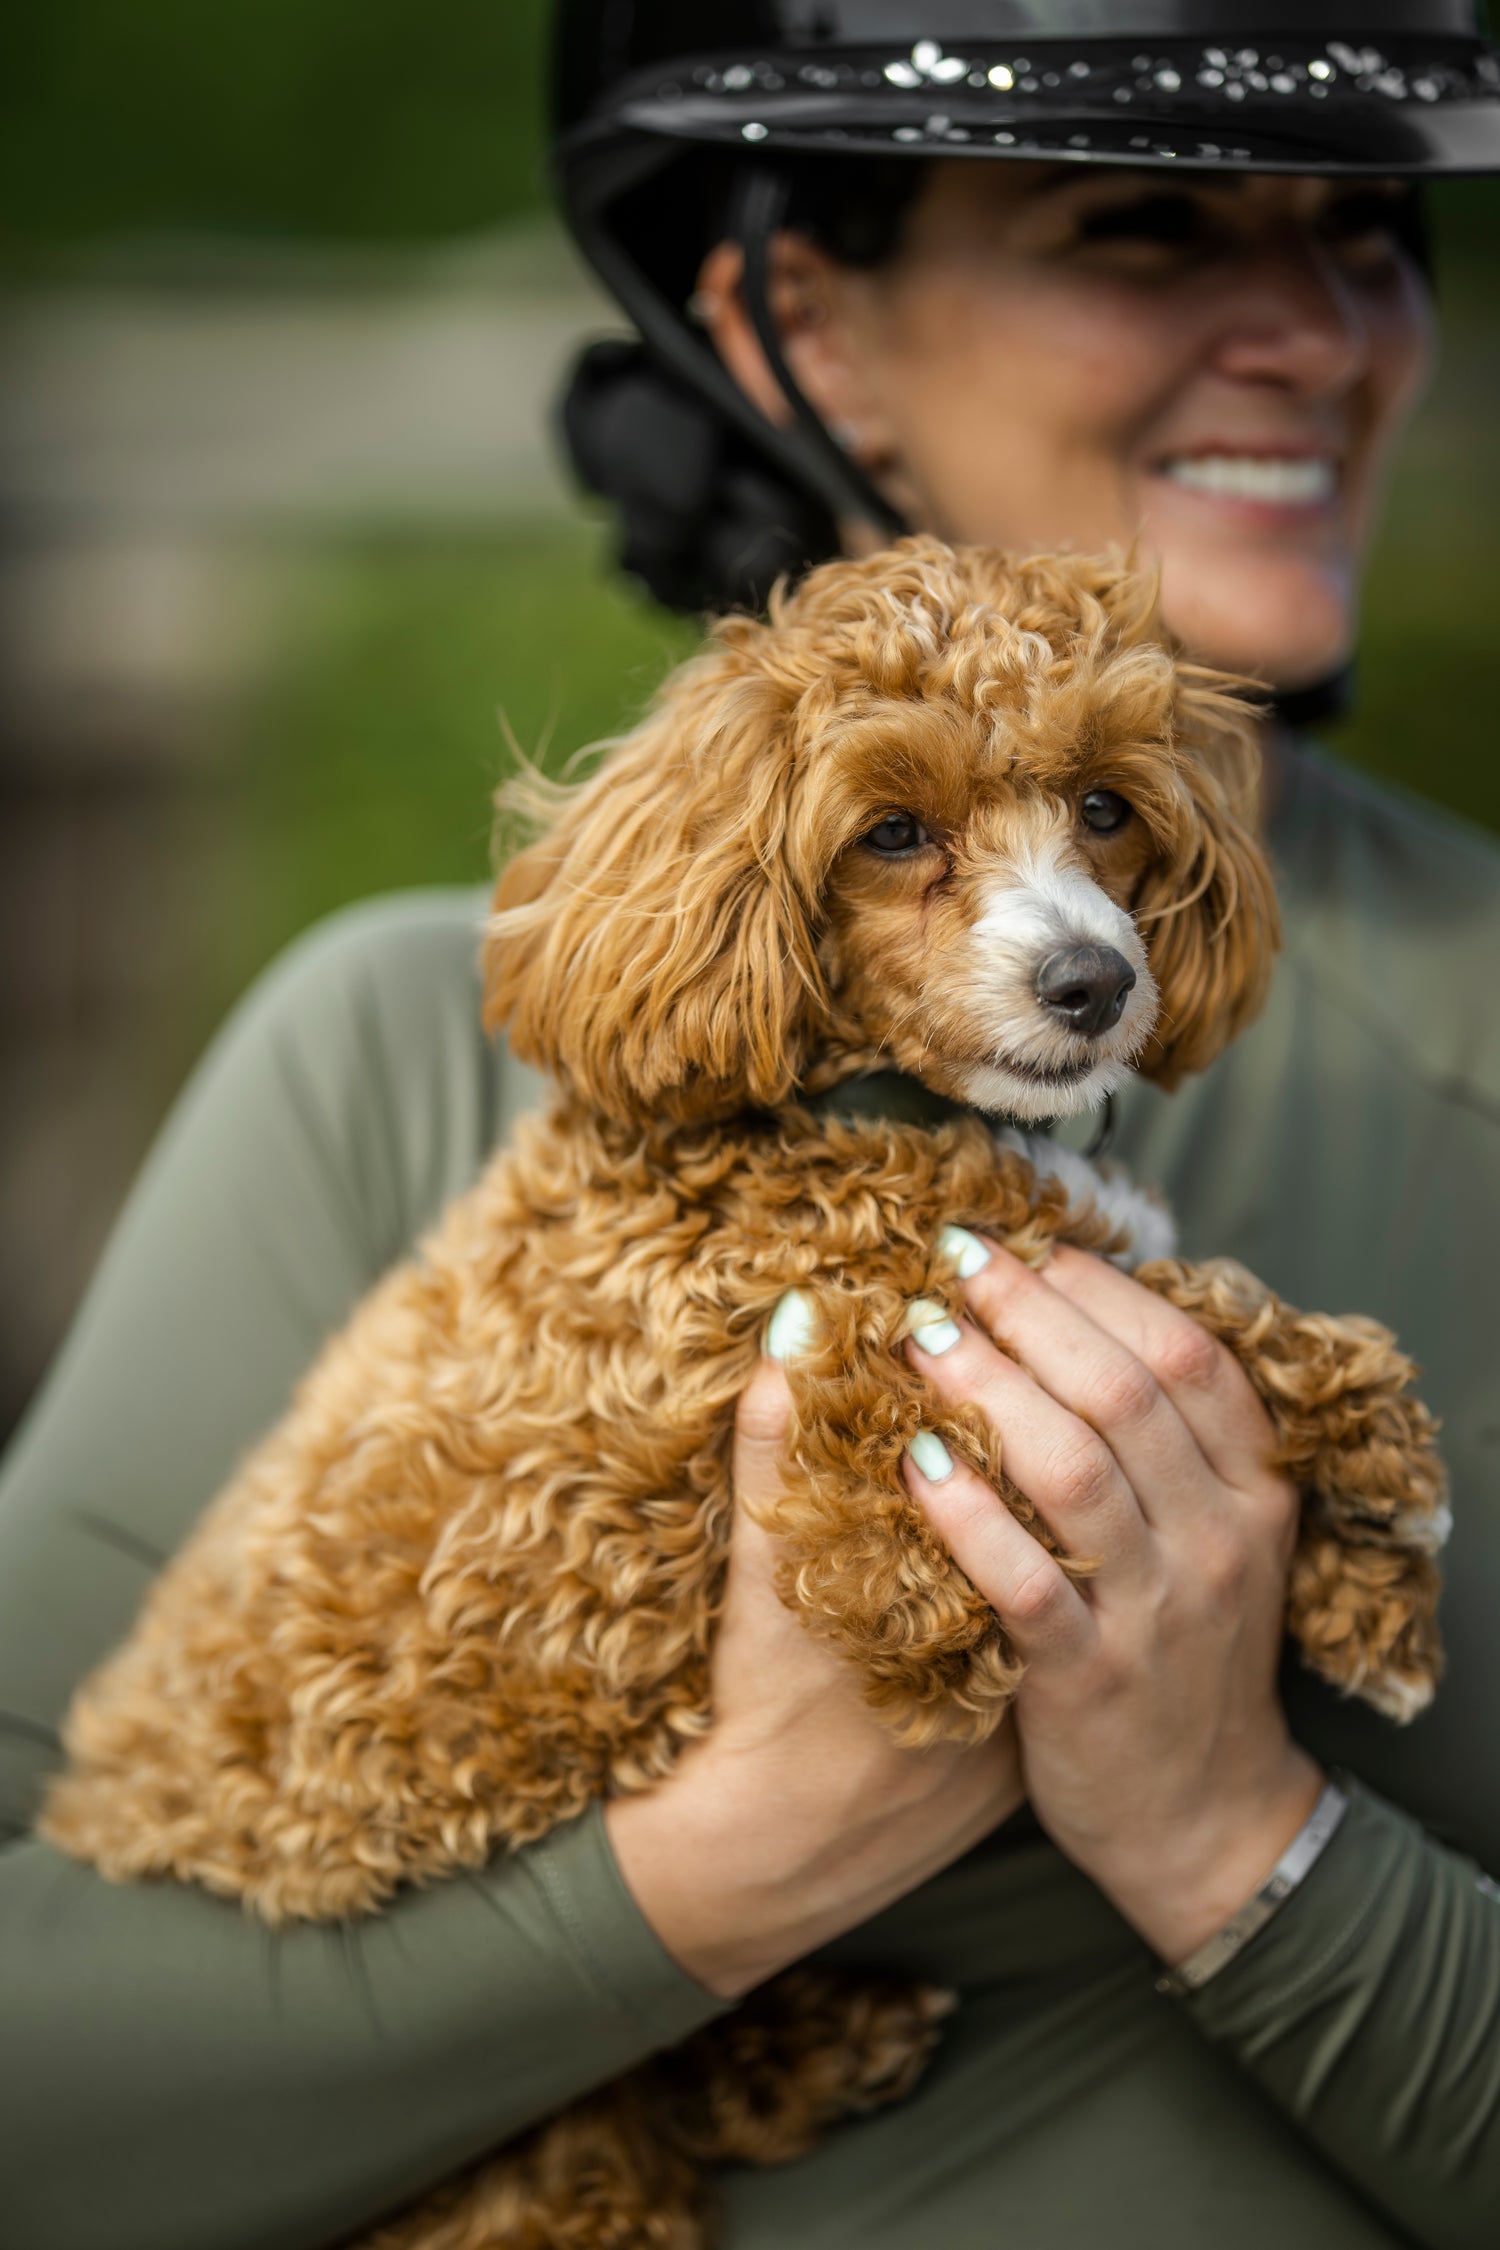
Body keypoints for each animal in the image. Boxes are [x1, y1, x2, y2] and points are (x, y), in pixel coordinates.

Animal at [46, 544, 1448, 2250]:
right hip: (540, 2180)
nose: (1095, 979)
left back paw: (824, 2041)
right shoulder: (868, 1397)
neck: (842, 1111)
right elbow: (1207, 1318)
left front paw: (1360, 1591)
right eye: (892, 830)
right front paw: (1386, 1500)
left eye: (1110, 806)